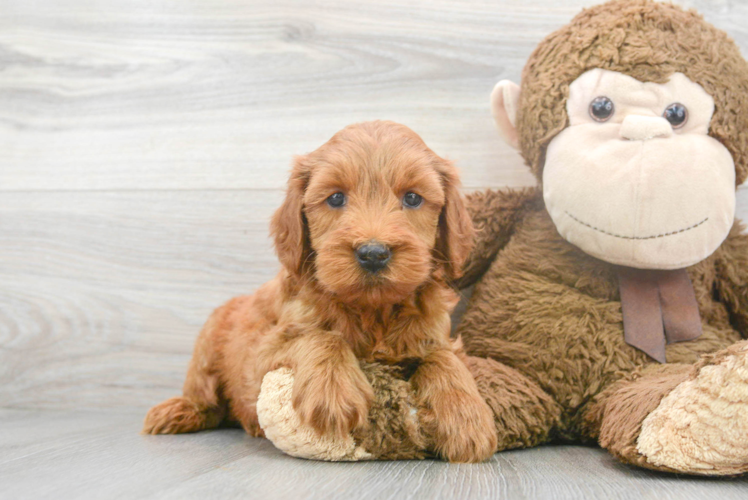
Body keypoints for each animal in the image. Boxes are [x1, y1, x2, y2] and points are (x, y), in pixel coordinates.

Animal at [144, 122, 500, 464]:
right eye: (336, 198)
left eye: (413, 198)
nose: (373, 253)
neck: (373, 311)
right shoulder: (261, 353)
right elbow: (321, 336)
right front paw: (332, 393)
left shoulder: (437, 334)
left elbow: (443, 358)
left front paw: (467, 418)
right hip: (208, 343)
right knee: (206, 397)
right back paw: (178, 411)